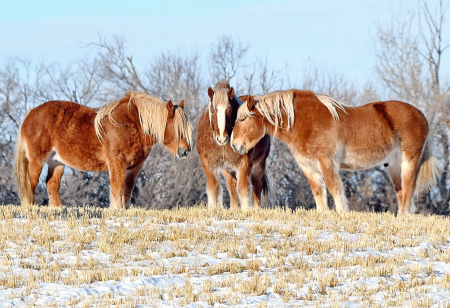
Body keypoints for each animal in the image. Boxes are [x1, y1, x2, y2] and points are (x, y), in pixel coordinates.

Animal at [14, 90, 192, 208]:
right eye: (178, 128)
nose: (185, 151)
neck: (132, 124)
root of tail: (30, 114)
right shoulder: (117, 163)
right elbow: (117, 188)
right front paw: (116, 210)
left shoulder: (134, 168)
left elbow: (127, 190)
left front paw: (125, 209)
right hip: (37, 159)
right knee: (31, 183)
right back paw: (30, 208)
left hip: (56, 162)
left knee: (52, 185)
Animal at [197, 79, 270, 211]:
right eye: (212, 111)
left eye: (229, 110)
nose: (222, 138)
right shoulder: (209, 165)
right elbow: (214, 188)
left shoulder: (244, 164)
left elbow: (243, 189)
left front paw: (246, 210)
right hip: (228, 170)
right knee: (232, 187)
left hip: (259, 164)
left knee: (257, 185)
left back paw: (257, 209)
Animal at [230, 89, 442, 214]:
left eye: (243, 119)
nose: (234, 145)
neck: (306, 122)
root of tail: (421, 115)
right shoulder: (308, 166)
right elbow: (318, 192)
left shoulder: (327, 161)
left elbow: (335, 189)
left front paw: (342, 213)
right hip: (394, 165)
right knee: (401, 192)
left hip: (410, 160)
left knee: (409, 189)